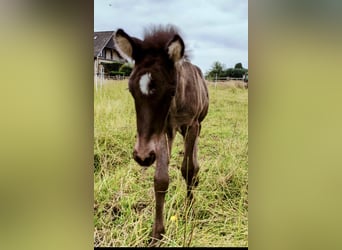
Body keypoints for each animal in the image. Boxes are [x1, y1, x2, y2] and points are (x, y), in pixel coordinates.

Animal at [113, 25, 208, 246]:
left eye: (171, 91)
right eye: (130, 89)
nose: (142, 156)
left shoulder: (191, 125)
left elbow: (188, 169)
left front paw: (189, 210)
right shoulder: (162, 130)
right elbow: (161, 179)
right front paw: (157, 234)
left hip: (197, 125)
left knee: (193, 158)